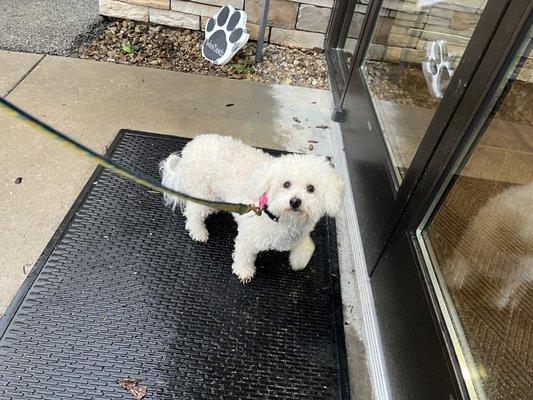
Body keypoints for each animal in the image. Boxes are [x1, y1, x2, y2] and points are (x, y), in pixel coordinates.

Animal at [158, 134, 344, 282]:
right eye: (286, 184)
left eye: (311, 188)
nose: (295, 201)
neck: (282, 219)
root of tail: (191, 147)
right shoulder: (248, 237)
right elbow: (243, 255)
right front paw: (244, 271)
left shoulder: (301, 234)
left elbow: (307, 247)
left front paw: (298, 261)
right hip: (203, 193)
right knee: (193, 212)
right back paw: (198, 231)